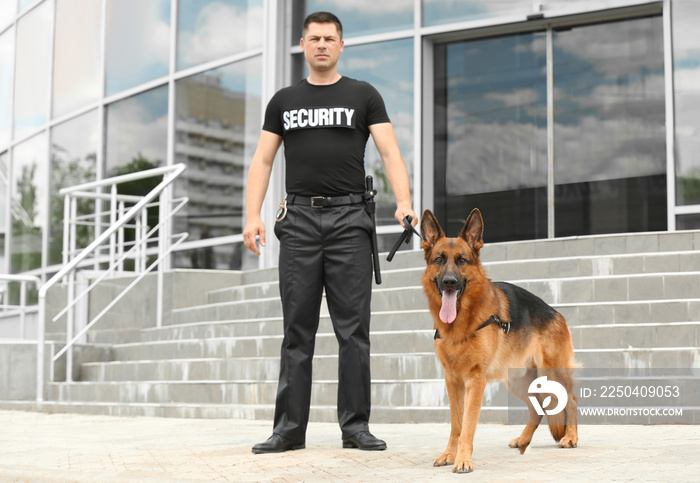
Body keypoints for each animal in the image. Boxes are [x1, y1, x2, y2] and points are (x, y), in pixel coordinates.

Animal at [418, 208, 576, 472]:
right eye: (439, 260)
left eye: (462, 260)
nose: (449, 281)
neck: (462, 323)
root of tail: (556, 313)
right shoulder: (452, 381)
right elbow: (456, 424)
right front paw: (449, 454)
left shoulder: (475, 380)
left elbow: (468, 424)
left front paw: (463, 459)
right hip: (519, 382)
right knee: (537, 408)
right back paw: (523, 439)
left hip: (554, 372)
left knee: (571, 399)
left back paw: (571, 437)